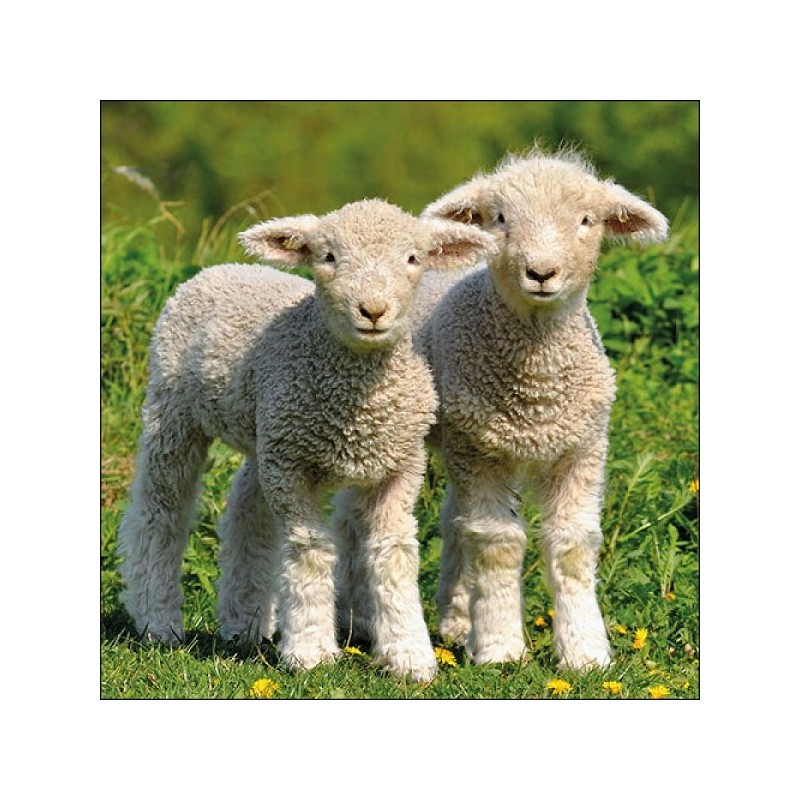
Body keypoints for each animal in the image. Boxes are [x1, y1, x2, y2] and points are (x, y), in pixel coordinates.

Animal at [117, 198, 496, 682]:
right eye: (328, 256)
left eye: (413, 258)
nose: (373, 310)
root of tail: (220, 269)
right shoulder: (292, 467)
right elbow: (311, 550)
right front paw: (311, 651)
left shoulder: (399, 466)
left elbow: (393, 554)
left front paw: (409, 655)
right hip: (174, 410)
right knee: (160, 511)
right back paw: (158, 620)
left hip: (265, 431)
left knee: (246, 508)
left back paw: (245, 623)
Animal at [416, 147, 669, 670]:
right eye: (500, 218)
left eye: (587, 220)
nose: (541, 272)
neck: (537, 393)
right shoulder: (482, 453)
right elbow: (497, 544)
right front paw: (499, 648)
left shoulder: (582, 449)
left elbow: (573, 545)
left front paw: (585, 651)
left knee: (453, 519)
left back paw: (458, 619)